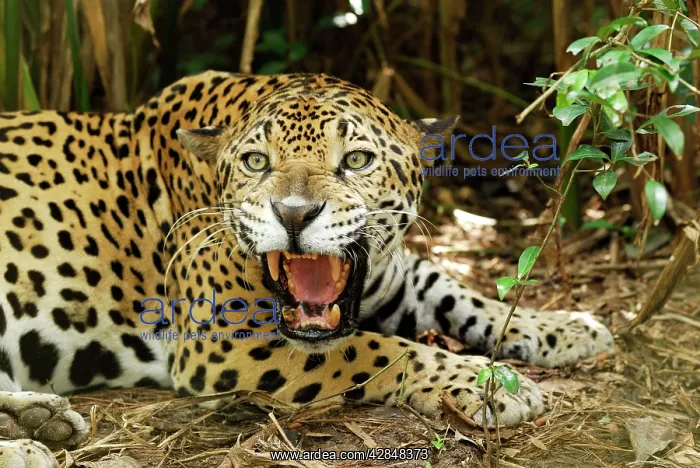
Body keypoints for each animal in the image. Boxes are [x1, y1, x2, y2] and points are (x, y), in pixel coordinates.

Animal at [0, 70, 614, 466]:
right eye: (256, 162)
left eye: (357, 160)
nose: (294, 213)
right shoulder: (224, 340)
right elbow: (378, 349)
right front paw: (483, 384)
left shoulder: (391, 277)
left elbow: (461, 293)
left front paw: (565, 326)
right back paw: (29, 448)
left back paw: (41, 422)